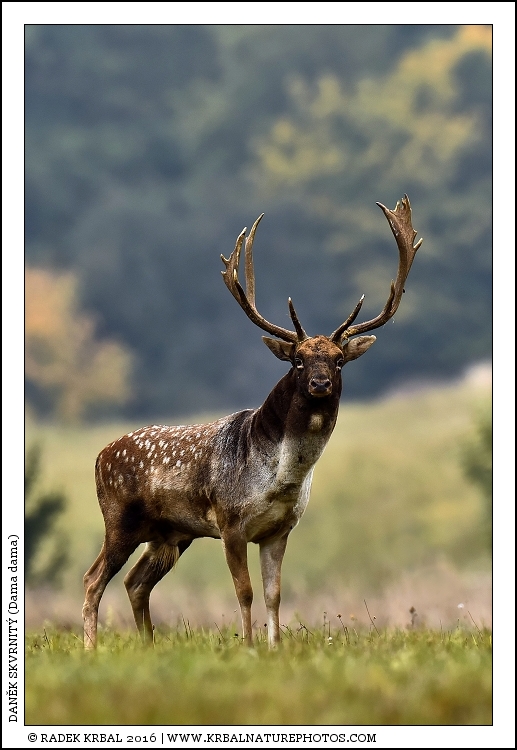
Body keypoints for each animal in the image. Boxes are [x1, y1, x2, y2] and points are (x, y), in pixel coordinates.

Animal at [83, 195, 422, 650]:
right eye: (297, 361)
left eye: (338, 360)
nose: (320, 383)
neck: (279, 480)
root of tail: (100, 456)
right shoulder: (230, 522)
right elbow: (243, 591)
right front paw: (247, 645)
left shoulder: (279, 530)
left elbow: (274, 593)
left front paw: (274, 647)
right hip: (120, 519)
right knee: (93, 579)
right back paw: (91, 647)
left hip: (171, 534)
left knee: (135, 582)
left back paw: (148, 645)